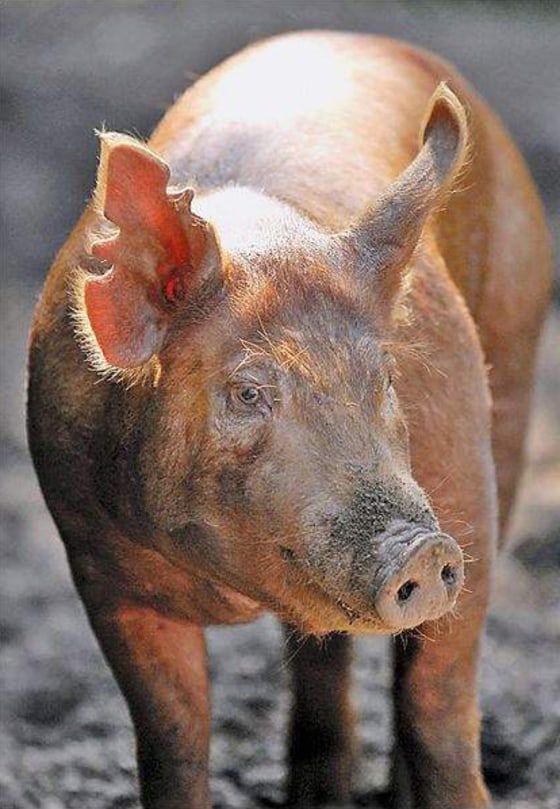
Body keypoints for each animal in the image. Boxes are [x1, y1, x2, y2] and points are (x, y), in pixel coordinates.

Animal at [27, 30, 551, 809]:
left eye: (384, 377)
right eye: (247, 393)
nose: (420, 549)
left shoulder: (467, 494)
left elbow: (441, 708)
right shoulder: (96, 562)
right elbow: (171, 737)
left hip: (514, 358)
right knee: (319, 649)